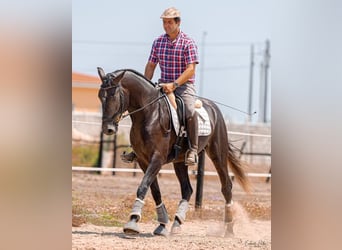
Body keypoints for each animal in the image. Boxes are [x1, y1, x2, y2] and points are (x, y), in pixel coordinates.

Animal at [97, 67, 250, 237]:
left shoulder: (157, 158)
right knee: (187, 189)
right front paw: (162, 224)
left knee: (226, 187)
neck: (149, 114)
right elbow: (154, 190)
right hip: (180, 162)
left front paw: (132, 222)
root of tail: (214, 108)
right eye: (100, 96)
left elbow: (143, 186)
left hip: (218, 154)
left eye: (114, 96)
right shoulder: (144, 161)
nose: (108, 129)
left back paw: (229, 229)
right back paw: (177, 223)